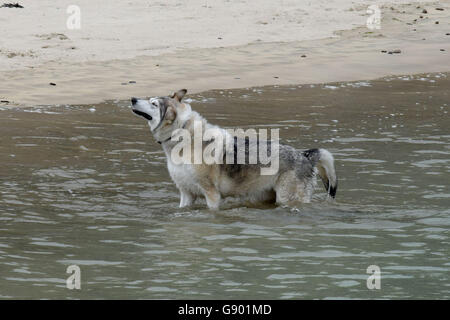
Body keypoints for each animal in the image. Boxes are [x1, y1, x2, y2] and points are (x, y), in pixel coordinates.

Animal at [131, 90, 338, 210]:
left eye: (153, 104)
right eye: (150, 100)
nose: (132, 98)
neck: (183, 140)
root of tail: (305, 155)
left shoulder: (212, 196)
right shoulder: (186, 194)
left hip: (287, 199)